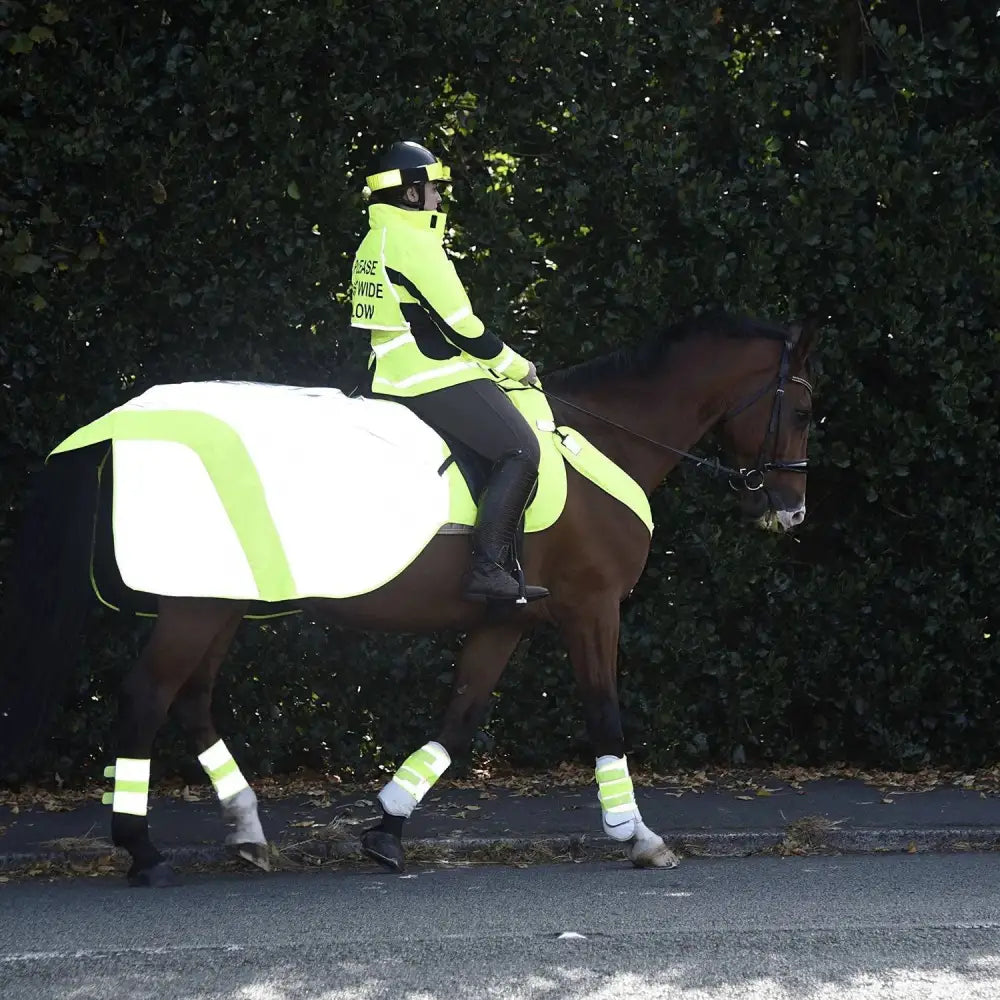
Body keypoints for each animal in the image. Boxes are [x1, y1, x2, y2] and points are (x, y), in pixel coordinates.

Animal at [0, 310, 812, 884]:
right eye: (804, 412)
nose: (791, 511)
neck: (603, 440)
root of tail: (124, 421)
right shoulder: (592, 608)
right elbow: (604, 714)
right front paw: (639, 837)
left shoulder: (507, 619)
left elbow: (459, 719)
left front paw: (386, 829)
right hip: (195, 606)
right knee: (148, 697)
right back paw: (142, 851)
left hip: (216, 601)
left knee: (191, 701)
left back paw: (250, 833)